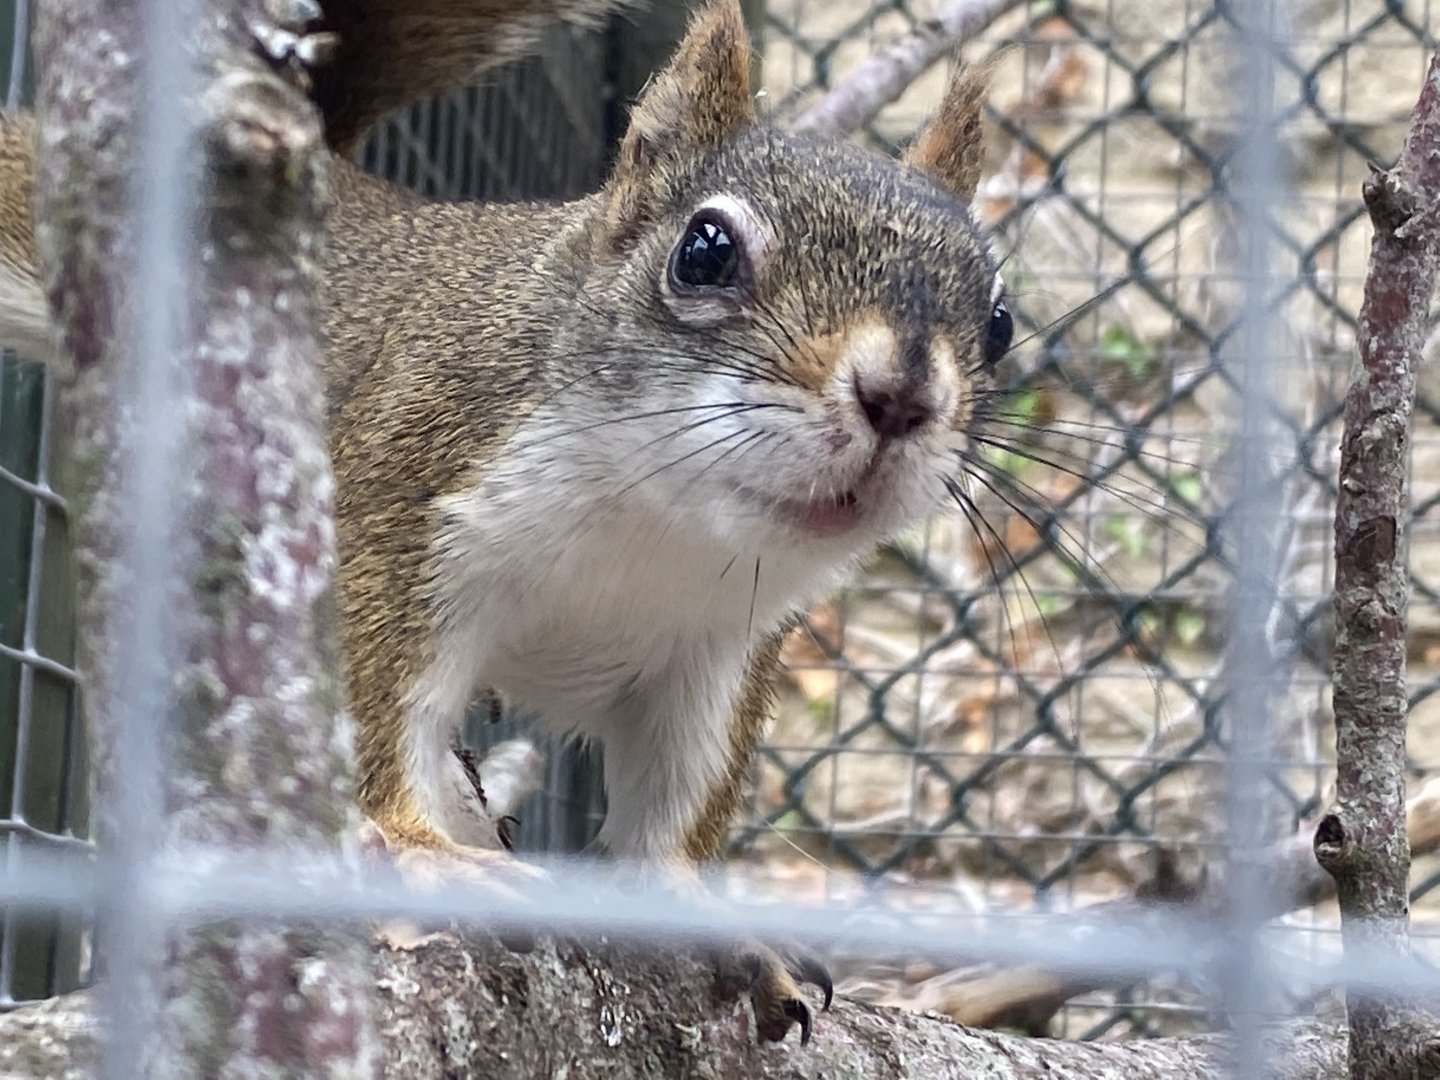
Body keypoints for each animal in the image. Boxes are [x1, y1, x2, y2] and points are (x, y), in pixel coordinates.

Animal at [0, 0, 1010, 1046]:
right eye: (706, 250)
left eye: (1002, 323)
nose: (901, 398)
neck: (660, 527)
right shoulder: (396, 497)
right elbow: (365, 703)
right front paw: (417, 847)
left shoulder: (722, 651)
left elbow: (678, 797)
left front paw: (705, 916)